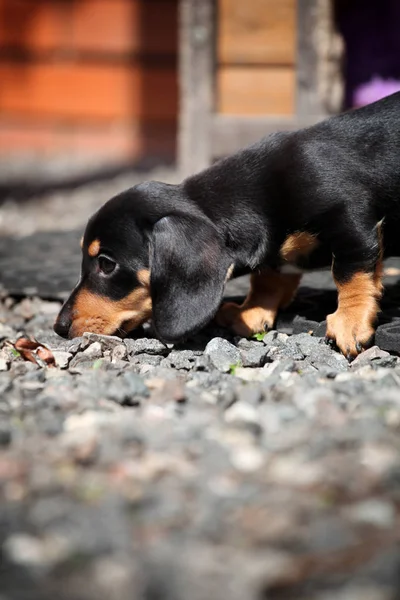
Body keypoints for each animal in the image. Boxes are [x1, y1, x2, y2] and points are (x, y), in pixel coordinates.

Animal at [54, 91, 400, 358]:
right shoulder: (274, 257)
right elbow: (267, 281)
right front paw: (252, 311)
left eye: (106, 264)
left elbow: (350, 274)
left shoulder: (349, 220)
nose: (58, 327)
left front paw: (349, 321)